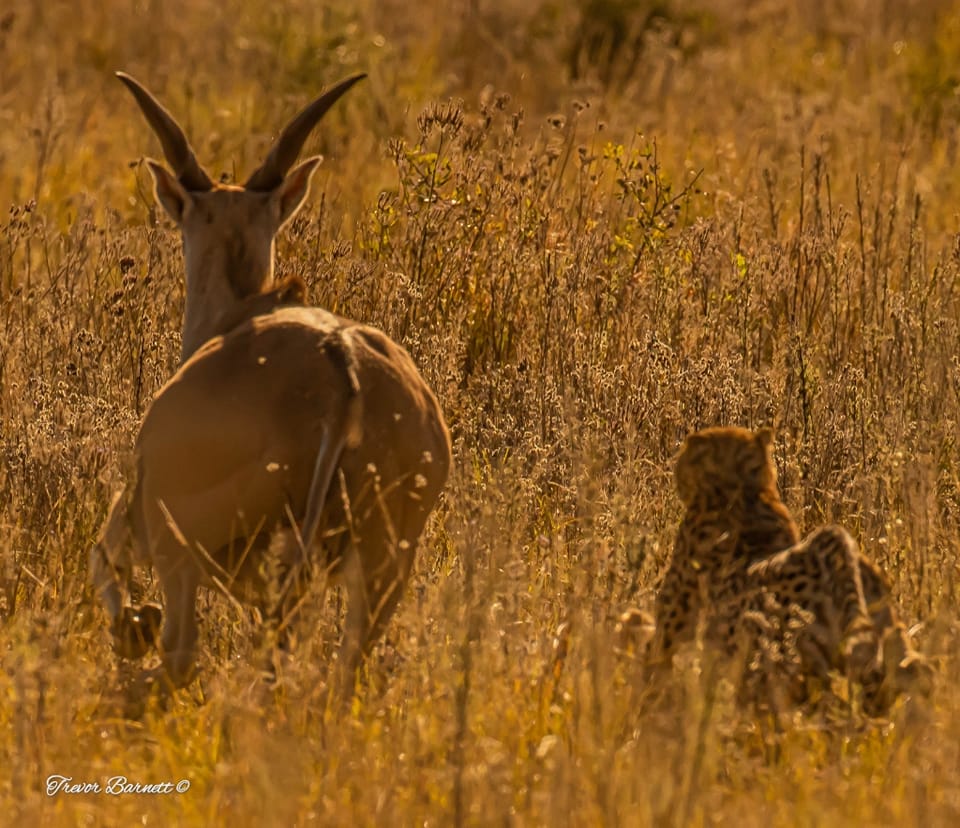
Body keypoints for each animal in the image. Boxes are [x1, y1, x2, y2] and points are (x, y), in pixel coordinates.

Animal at [646, 425, 932, 714]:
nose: (677, 468)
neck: (743, 493)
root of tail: (836, 551)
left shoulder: (670, 633)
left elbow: (653, 670)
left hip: (789, 669)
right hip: (888, 644)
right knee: (911, 673)